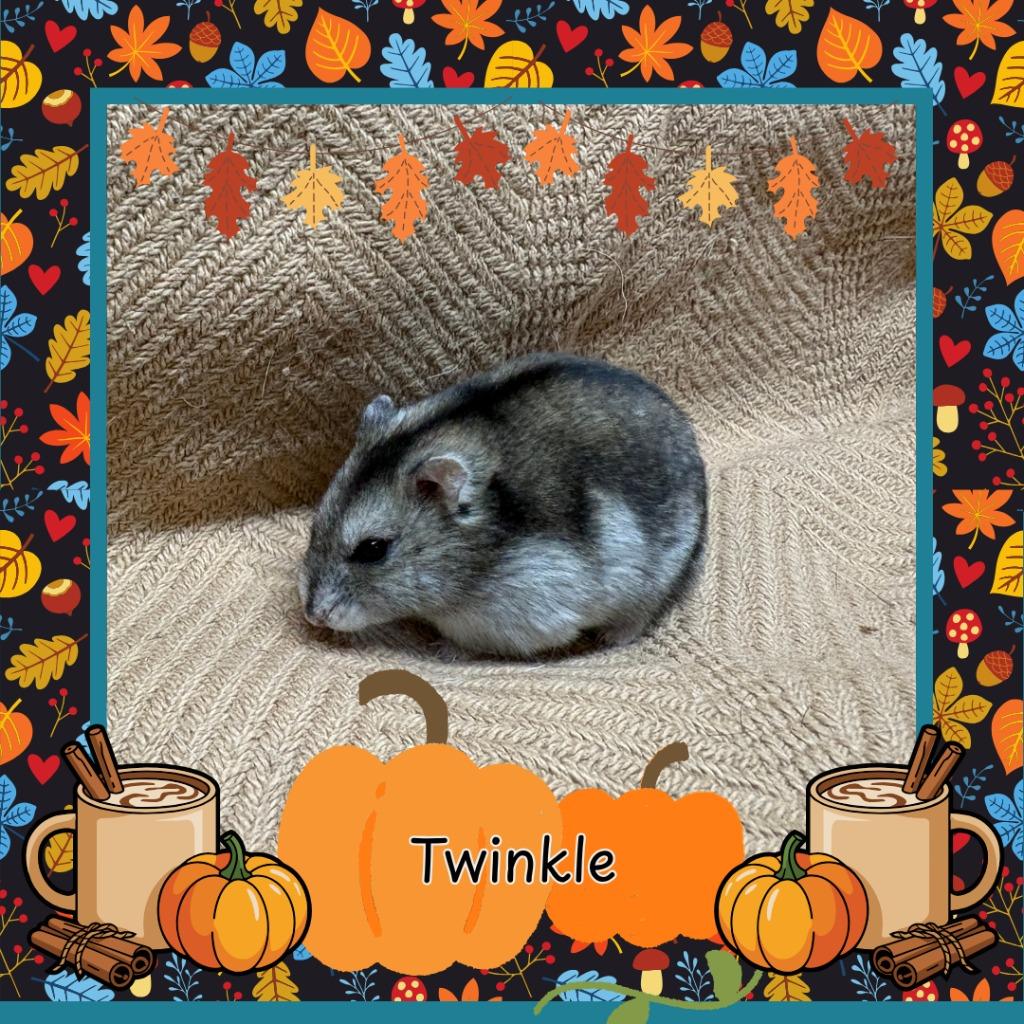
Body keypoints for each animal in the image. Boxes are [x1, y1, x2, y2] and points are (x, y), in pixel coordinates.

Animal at [300, 353, 706, 657]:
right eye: (316, 523)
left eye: (372, 549)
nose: (313, 616)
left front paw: (442, 649)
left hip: (653, 583)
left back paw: (610, 639)